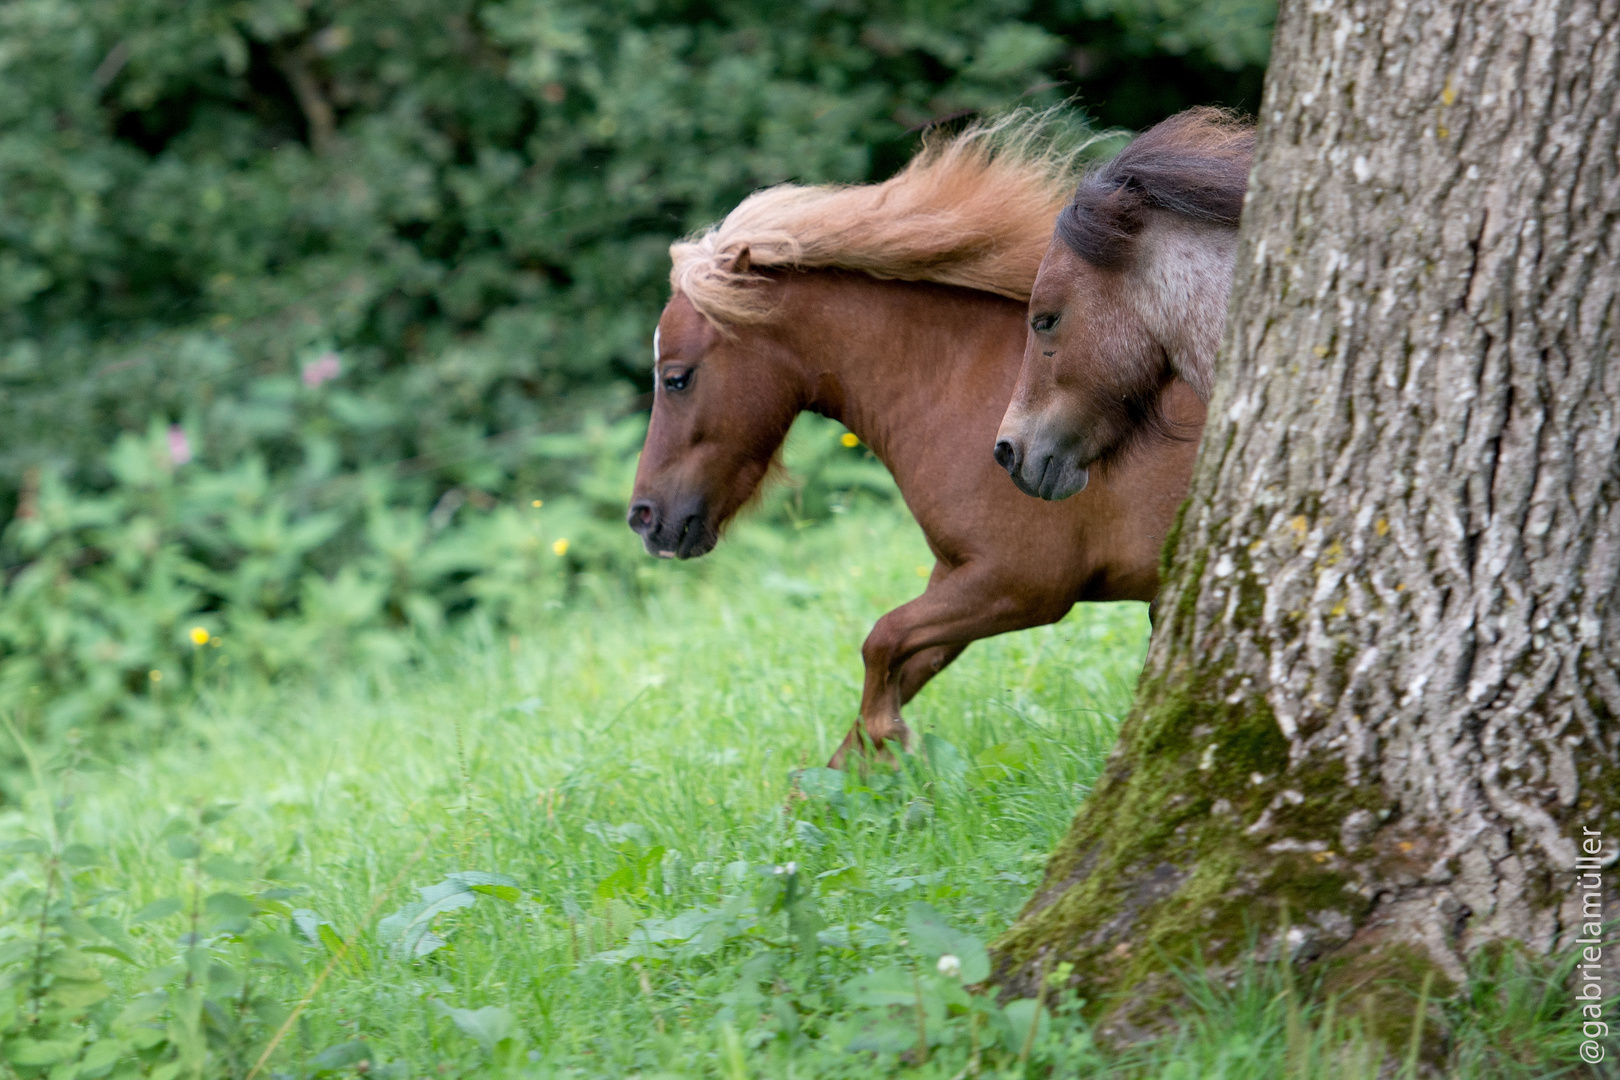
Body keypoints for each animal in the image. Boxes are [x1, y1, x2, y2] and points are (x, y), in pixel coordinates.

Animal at [628, 118, 1205, 764]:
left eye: (676, 377)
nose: (644, 517)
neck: (965, 383)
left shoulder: (1020, 585)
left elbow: (882, 641)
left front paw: (888, 739)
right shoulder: (957, 576)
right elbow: (900, 668)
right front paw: (843, 777)